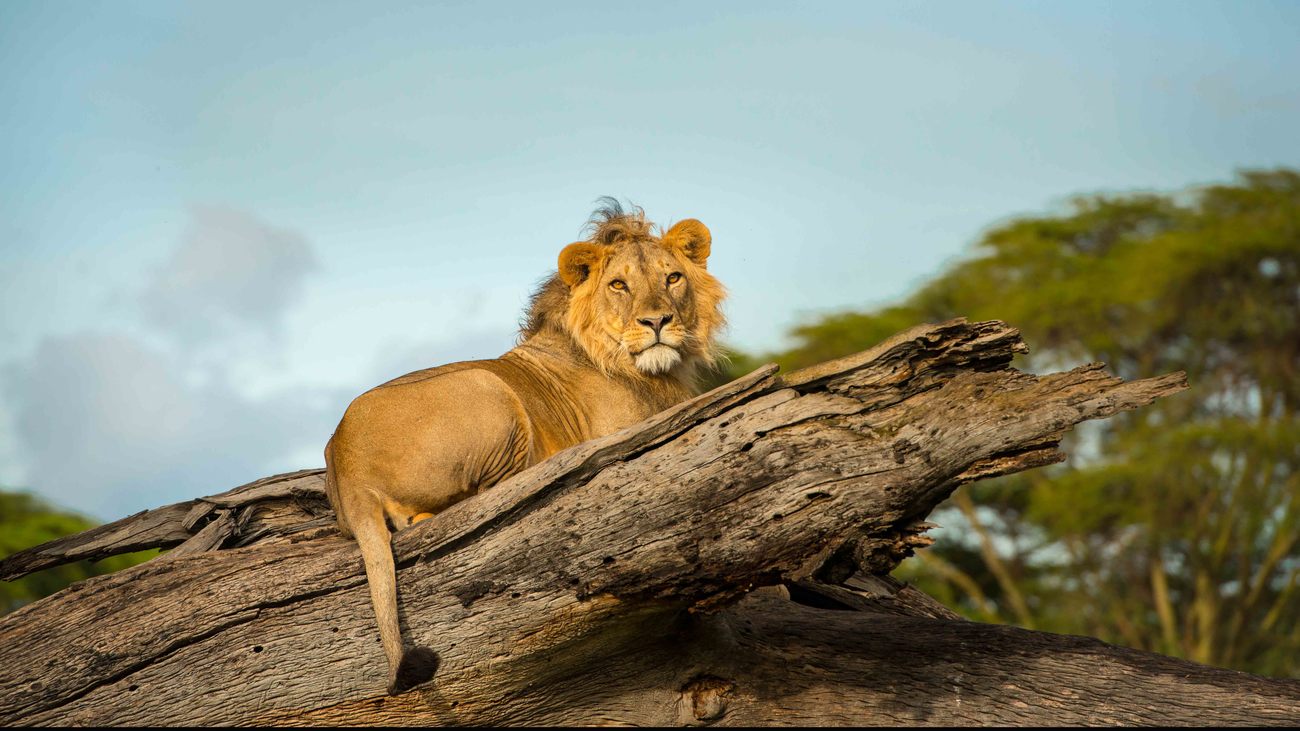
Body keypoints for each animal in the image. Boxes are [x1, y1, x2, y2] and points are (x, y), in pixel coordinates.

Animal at [321, 200, 728, 691]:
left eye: (673, 278)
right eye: (619, 284)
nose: (657, 322)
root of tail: (347, 461)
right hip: (487, 385)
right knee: (482, 499)